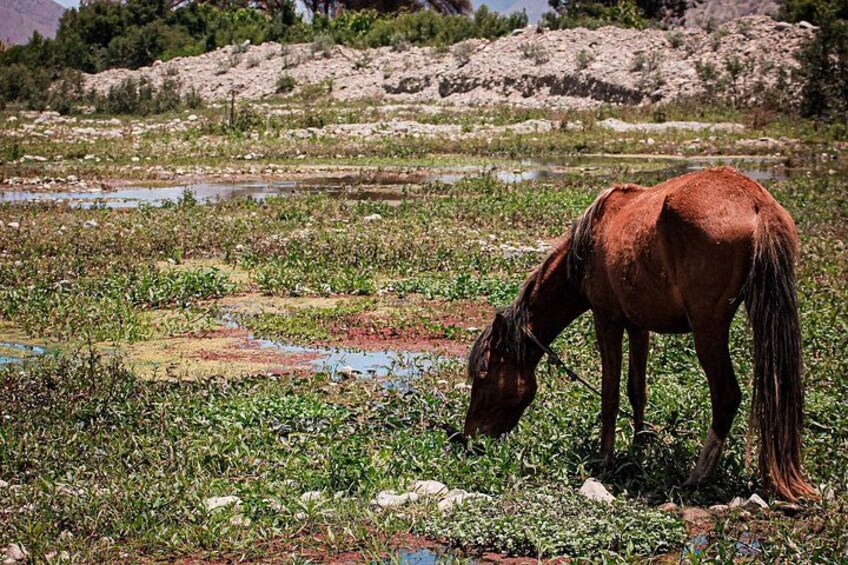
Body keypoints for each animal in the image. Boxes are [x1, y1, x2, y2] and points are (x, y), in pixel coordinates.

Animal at [463, 167, 815, 501]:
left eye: (483, 374)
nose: (469, 438)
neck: (588, 245)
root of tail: (757, 202)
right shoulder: (638, 325)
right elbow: (637, 390)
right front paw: (638, 447)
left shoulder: (607, 319)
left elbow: (610, 393)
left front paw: (605, 459)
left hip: (708, 329)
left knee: (726, 395)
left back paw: (698, 476)